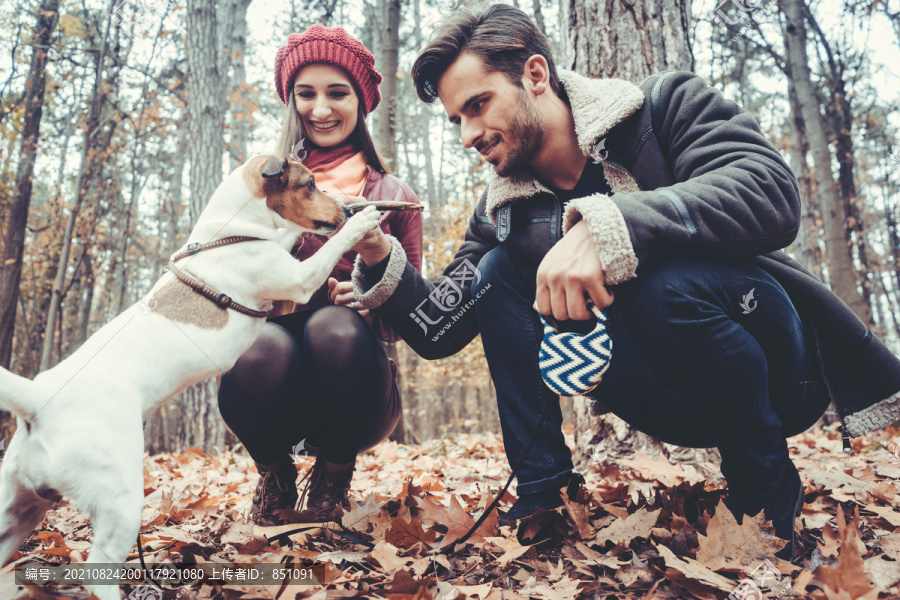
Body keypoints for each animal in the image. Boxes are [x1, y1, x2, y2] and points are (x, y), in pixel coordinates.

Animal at [0, 156, 380, 600]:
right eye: (310, 184)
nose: (348, 208)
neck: (231, 232)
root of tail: (38, 399)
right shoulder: (297, 279)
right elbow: (319, 249)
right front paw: (362, 222)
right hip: (119, 502)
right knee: (96, 572)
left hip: (18, 507)